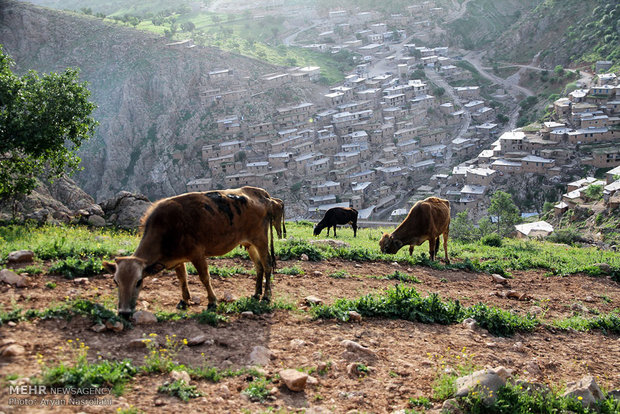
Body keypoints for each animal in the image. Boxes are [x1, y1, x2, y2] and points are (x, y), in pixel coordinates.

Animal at [103, 186, 284, 318]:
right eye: (115, 282)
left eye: (139, 281)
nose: (124, 313)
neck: (166, 228)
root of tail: (263, 195)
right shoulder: (177, 259)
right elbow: (182, 278)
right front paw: (184, 300)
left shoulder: (197, 254)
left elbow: (204, 278)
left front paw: (212, 302)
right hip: (249, 243)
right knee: (259, 266)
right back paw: (256, 293)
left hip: (261, 239)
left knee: (267, 264)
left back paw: (266, 295)